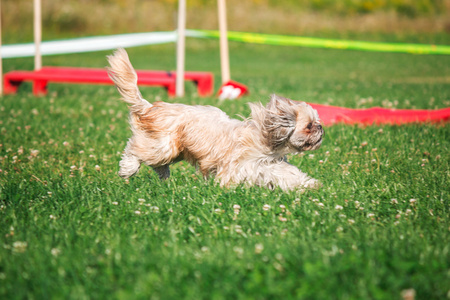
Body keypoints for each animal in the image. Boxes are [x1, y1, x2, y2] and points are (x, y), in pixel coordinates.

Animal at [105, 48, 324, 191]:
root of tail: (150, 107)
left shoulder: (270, 164)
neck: (266, 137)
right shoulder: (241, 166)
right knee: (135, 150)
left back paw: (164, 177)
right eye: (309, 125)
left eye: (316, 122)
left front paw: (310, 185)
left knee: (157, 163)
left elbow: (287, 175)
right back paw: (128, 169)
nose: (321, 128)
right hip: (163, 145)